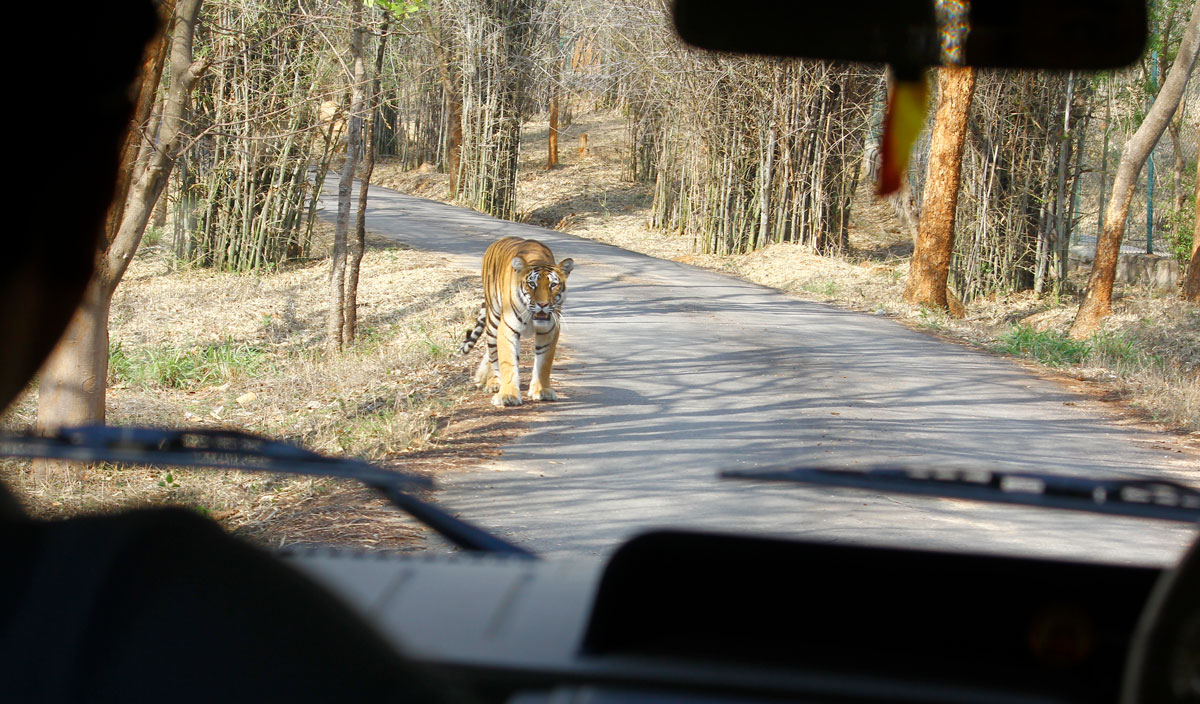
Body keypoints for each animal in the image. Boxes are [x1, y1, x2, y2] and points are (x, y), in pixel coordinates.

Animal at [460, 236, 574, 407]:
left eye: (553, 285)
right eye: (532, 284)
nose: (542, 304)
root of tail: (500, 240)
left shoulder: (549, 330)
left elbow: (544, 363)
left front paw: (542, 390)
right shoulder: (508, 328)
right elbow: (507, 362)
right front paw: (508, 395)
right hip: (494, 319)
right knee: (493, 353)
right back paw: (493, 383)